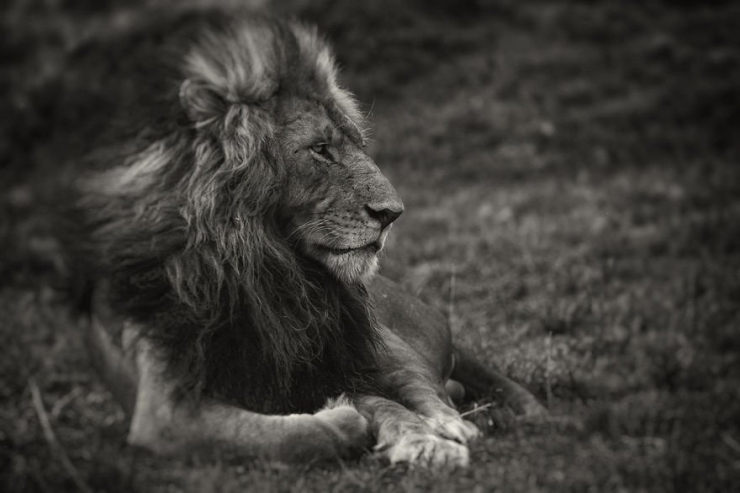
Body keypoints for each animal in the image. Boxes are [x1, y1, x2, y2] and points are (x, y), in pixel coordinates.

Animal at [39, 9, 544, 467]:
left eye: (356, 146)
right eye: (321, 149)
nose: (392, 214)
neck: (263, 271)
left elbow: (374, 403)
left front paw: (415, 434)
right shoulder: (165, 410)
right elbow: (291, 436)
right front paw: (349, 420)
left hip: (383, 338)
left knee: (431, 388)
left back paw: (451, 424)